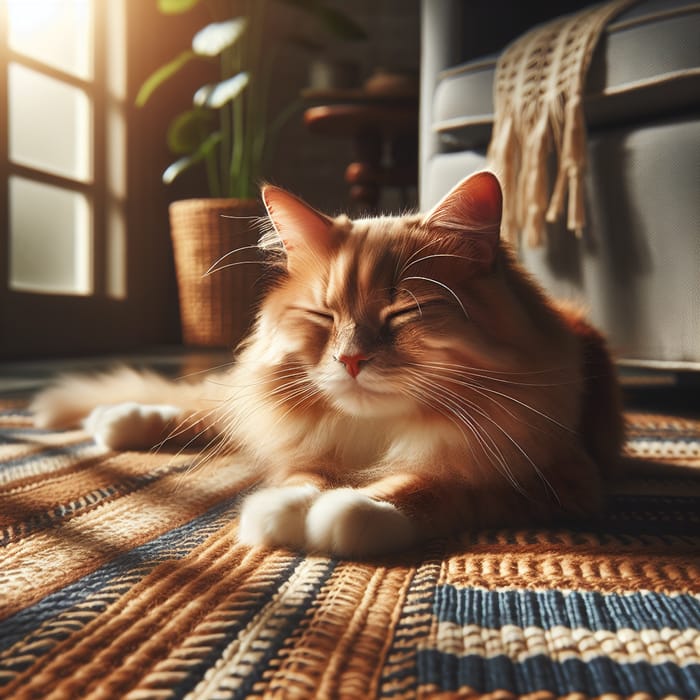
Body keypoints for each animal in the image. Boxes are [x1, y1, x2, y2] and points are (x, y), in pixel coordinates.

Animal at [32, 171, 624, 556]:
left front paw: (354, 511)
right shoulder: (308, 443)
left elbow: (436, 486)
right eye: (323, 314)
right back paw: (122, 419)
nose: (350, 359)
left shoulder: (551, 479)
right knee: (215, 409)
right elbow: (304, 475)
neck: (380, 432)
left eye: (402, 312)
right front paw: (285, 508)